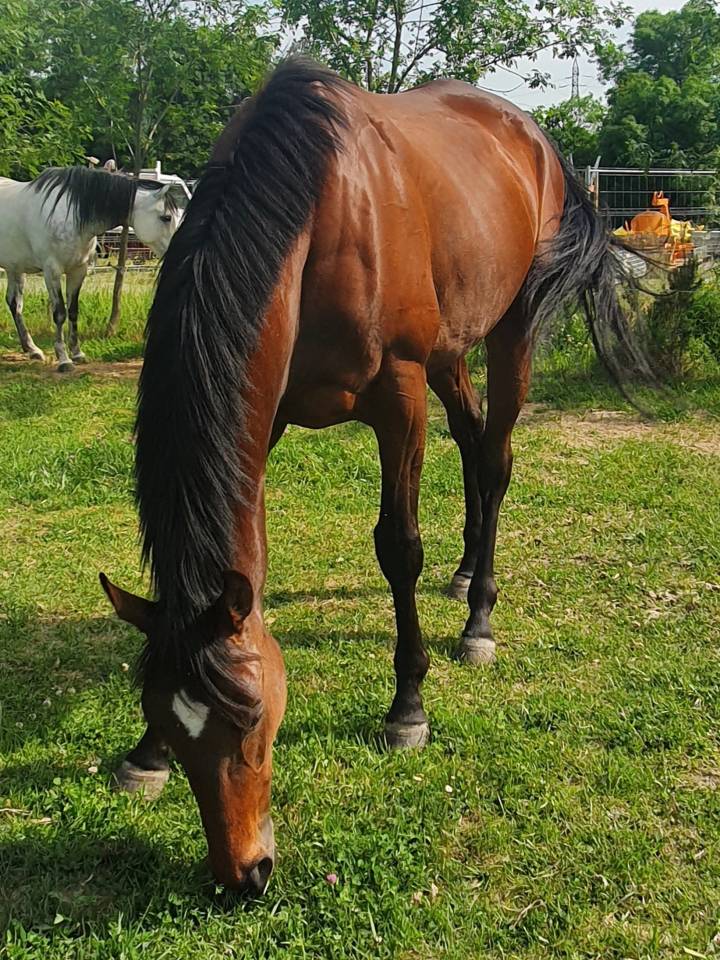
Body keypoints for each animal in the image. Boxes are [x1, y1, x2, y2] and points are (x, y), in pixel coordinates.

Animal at [0, 167, 180, 371]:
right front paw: (64, 359)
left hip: (15, 268)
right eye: (166, 217)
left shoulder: (78, 270)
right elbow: (59, 313)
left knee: (14, 303)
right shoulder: (52, 271)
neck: (70, 214)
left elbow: (73, 311)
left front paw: (77, 354)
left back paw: (32, 349)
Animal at [100, 60, 653, 895]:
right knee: (473, 443)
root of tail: (535, 139)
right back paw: (465, 574)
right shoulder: (267, 414)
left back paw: (479, 619)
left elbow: (399, 546)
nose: (244, 875)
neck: (313, 211)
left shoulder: (398, 397)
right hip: (452, 351)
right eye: (167, 715)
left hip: (508, 331)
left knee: (495, 458)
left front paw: (408, 706)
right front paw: (144, 758)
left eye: (252, 718)